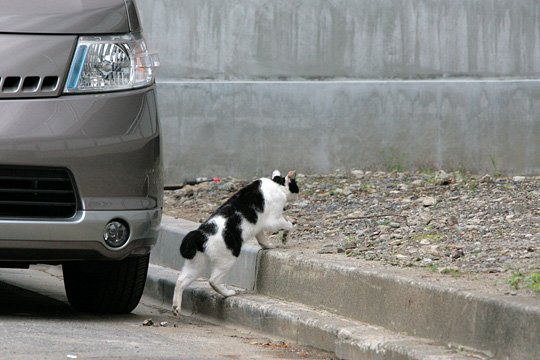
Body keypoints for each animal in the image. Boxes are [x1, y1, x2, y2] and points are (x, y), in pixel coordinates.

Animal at [173, 170, 300, 314]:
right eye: (296, 186)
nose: (298, 193)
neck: (277, 184)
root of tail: (200, 235)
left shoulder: (259, 226)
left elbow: (261, 237)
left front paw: (268, 246)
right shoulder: (273, 220)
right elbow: (288, 224)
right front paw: (286, 235)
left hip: (196, 265)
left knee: (180, 281)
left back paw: (176, 307)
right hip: (228, 258)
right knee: (213, 281)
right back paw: (228, 293)